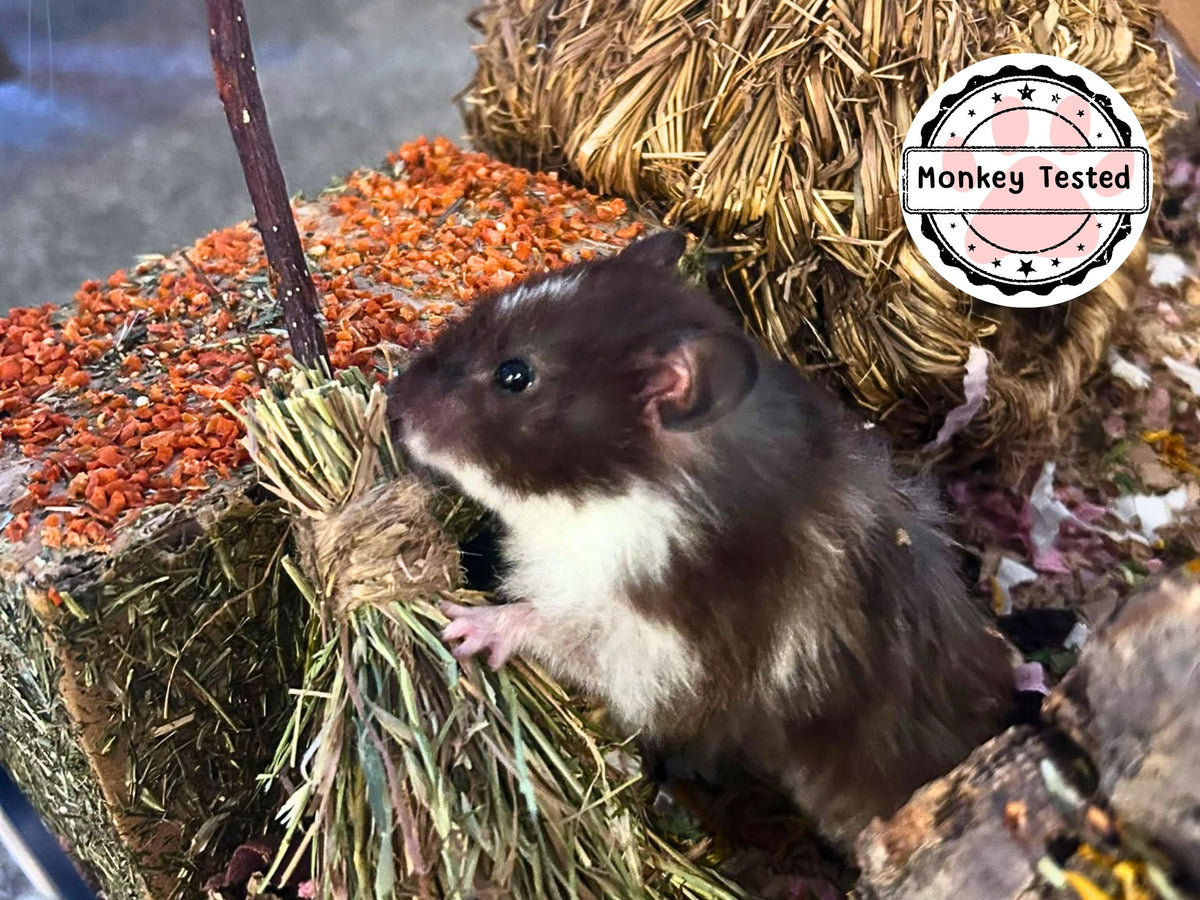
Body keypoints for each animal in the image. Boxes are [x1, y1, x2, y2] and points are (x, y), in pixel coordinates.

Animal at [386, 231, 1014, 848]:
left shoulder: (666, 651)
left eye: (514, 375)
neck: (633, 497)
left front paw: (463, 627)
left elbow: (551, 626)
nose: (394, 402)